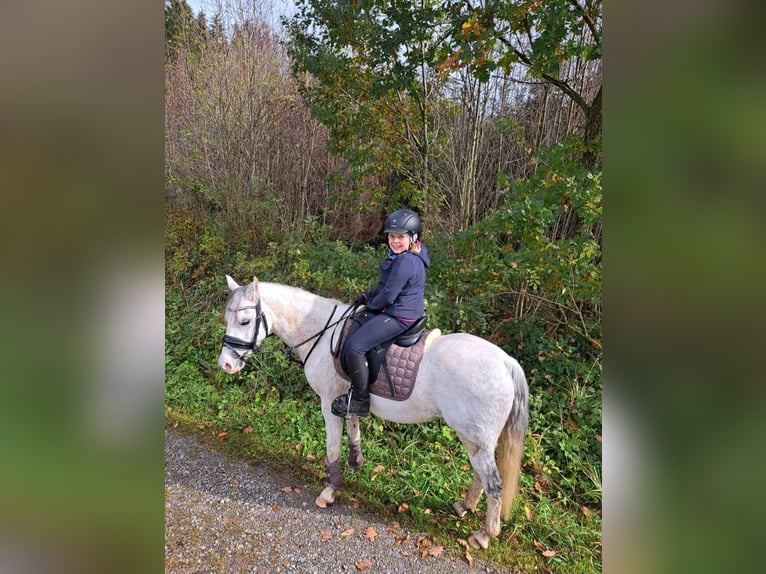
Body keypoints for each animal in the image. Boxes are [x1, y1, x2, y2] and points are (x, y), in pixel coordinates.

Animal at [217, 275, 529, 549]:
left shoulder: (328, 402)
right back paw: (464, 506)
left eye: (245, 321)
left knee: (495, 484)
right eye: (227, 319)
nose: (226, 365)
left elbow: (332, 448)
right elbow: (354, 426)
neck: (322, 332)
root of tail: (506, 362)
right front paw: (356, 461)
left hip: (476, 439)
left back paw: (484, 535)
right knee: (480, 476)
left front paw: (330, 490)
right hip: (473, 438)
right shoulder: (348, 398)